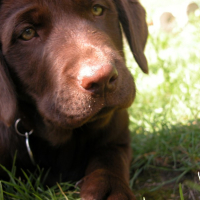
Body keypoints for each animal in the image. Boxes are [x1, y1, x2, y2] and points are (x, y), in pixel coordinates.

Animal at [0, 0, 147, 199]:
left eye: (97, 9)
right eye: (27, 33)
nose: (101, 79)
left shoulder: (119, 138)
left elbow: (110, 157)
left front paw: (111, 189)